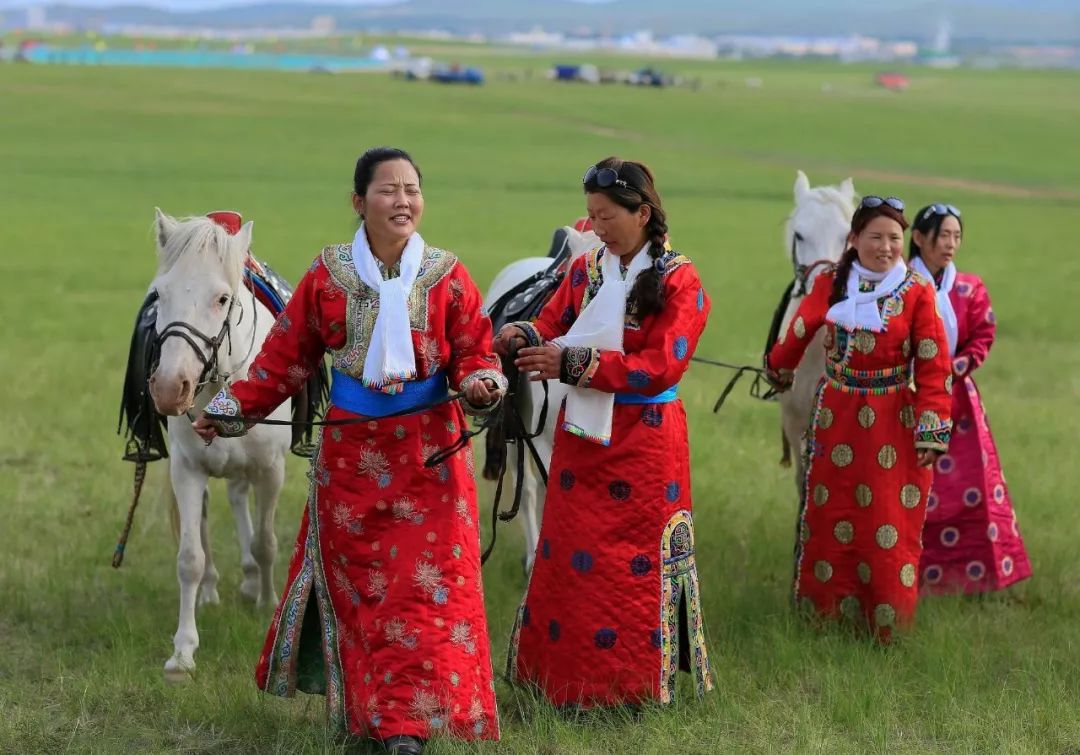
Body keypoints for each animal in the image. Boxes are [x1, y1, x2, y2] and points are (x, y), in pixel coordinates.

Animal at [149, 209, 291, 682]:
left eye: (223, 299)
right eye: (160, 293)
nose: (169, 387)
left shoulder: (271, 471)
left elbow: (266, 542)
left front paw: (267, 602)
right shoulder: (187, 470)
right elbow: (189, 557)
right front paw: (182, 652)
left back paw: (250, 581)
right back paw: (212, 589)